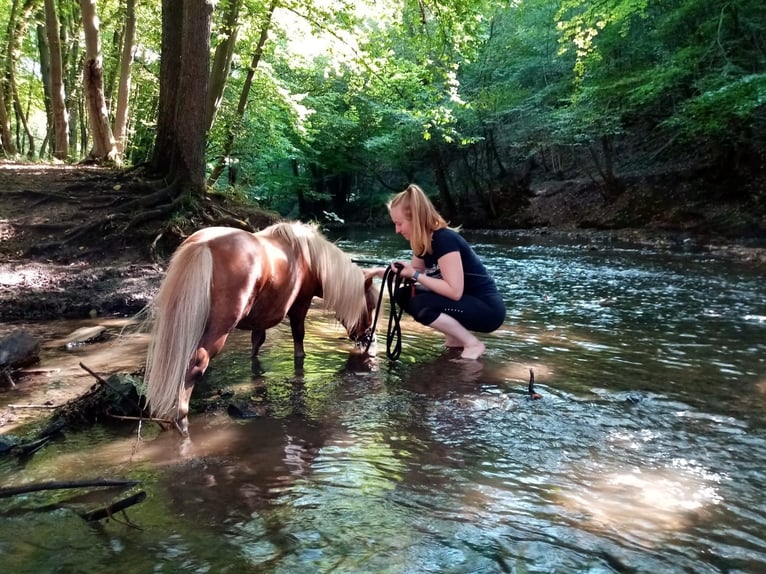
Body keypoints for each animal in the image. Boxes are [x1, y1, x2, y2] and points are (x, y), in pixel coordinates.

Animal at [143, 221, 378, 435]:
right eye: (371, 305)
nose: (369, 339)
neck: (309, 258)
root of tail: (203, 245)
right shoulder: (300, 305)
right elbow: (299, 341)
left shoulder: (261, 320)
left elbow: (256, 346)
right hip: (218, 330)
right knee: (196, 363)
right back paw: (180, 418)